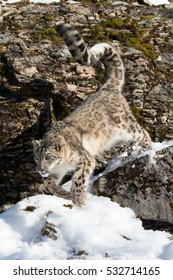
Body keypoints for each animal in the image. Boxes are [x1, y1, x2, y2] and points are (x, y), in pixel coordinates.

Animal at [32, 23, 151, 207]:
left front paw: (79, 200)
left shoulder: (84, 158)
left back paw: (147, 148)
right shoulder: (56, 172)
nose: (41, 169)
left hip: (125, 126)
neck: (62, 165)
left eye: (49, 157)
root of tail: (106, 88)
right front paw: (64, 194)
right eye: (36, 158)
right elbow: (49, 184)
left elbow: (79, 178)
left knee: (142, 131)